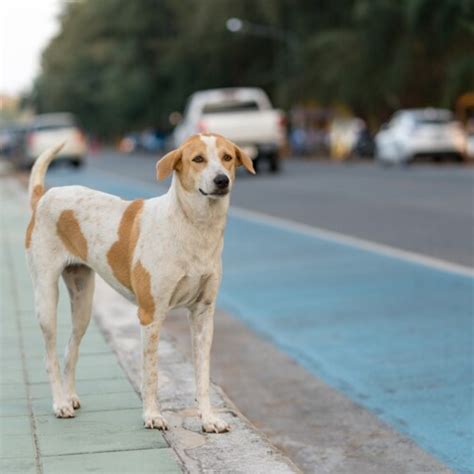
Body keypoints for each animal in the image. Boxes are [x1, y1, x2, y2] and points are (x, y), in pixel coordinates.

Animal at [25, 133, 256, 434]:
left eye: (227, 157)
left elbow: (203, 376)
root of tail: (43, 197)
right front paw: (152, 416)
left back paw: (70, 396)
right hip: (46, 300)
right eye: (198, 159)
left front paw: (208, 419)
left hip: (83, 302)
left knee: (69, 350)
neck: (193, 227)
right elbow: (151, 374)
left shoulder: (204, 314)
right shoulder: (151, 315)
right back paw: (60, 404)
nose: (221, 180)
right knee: (50, 356)